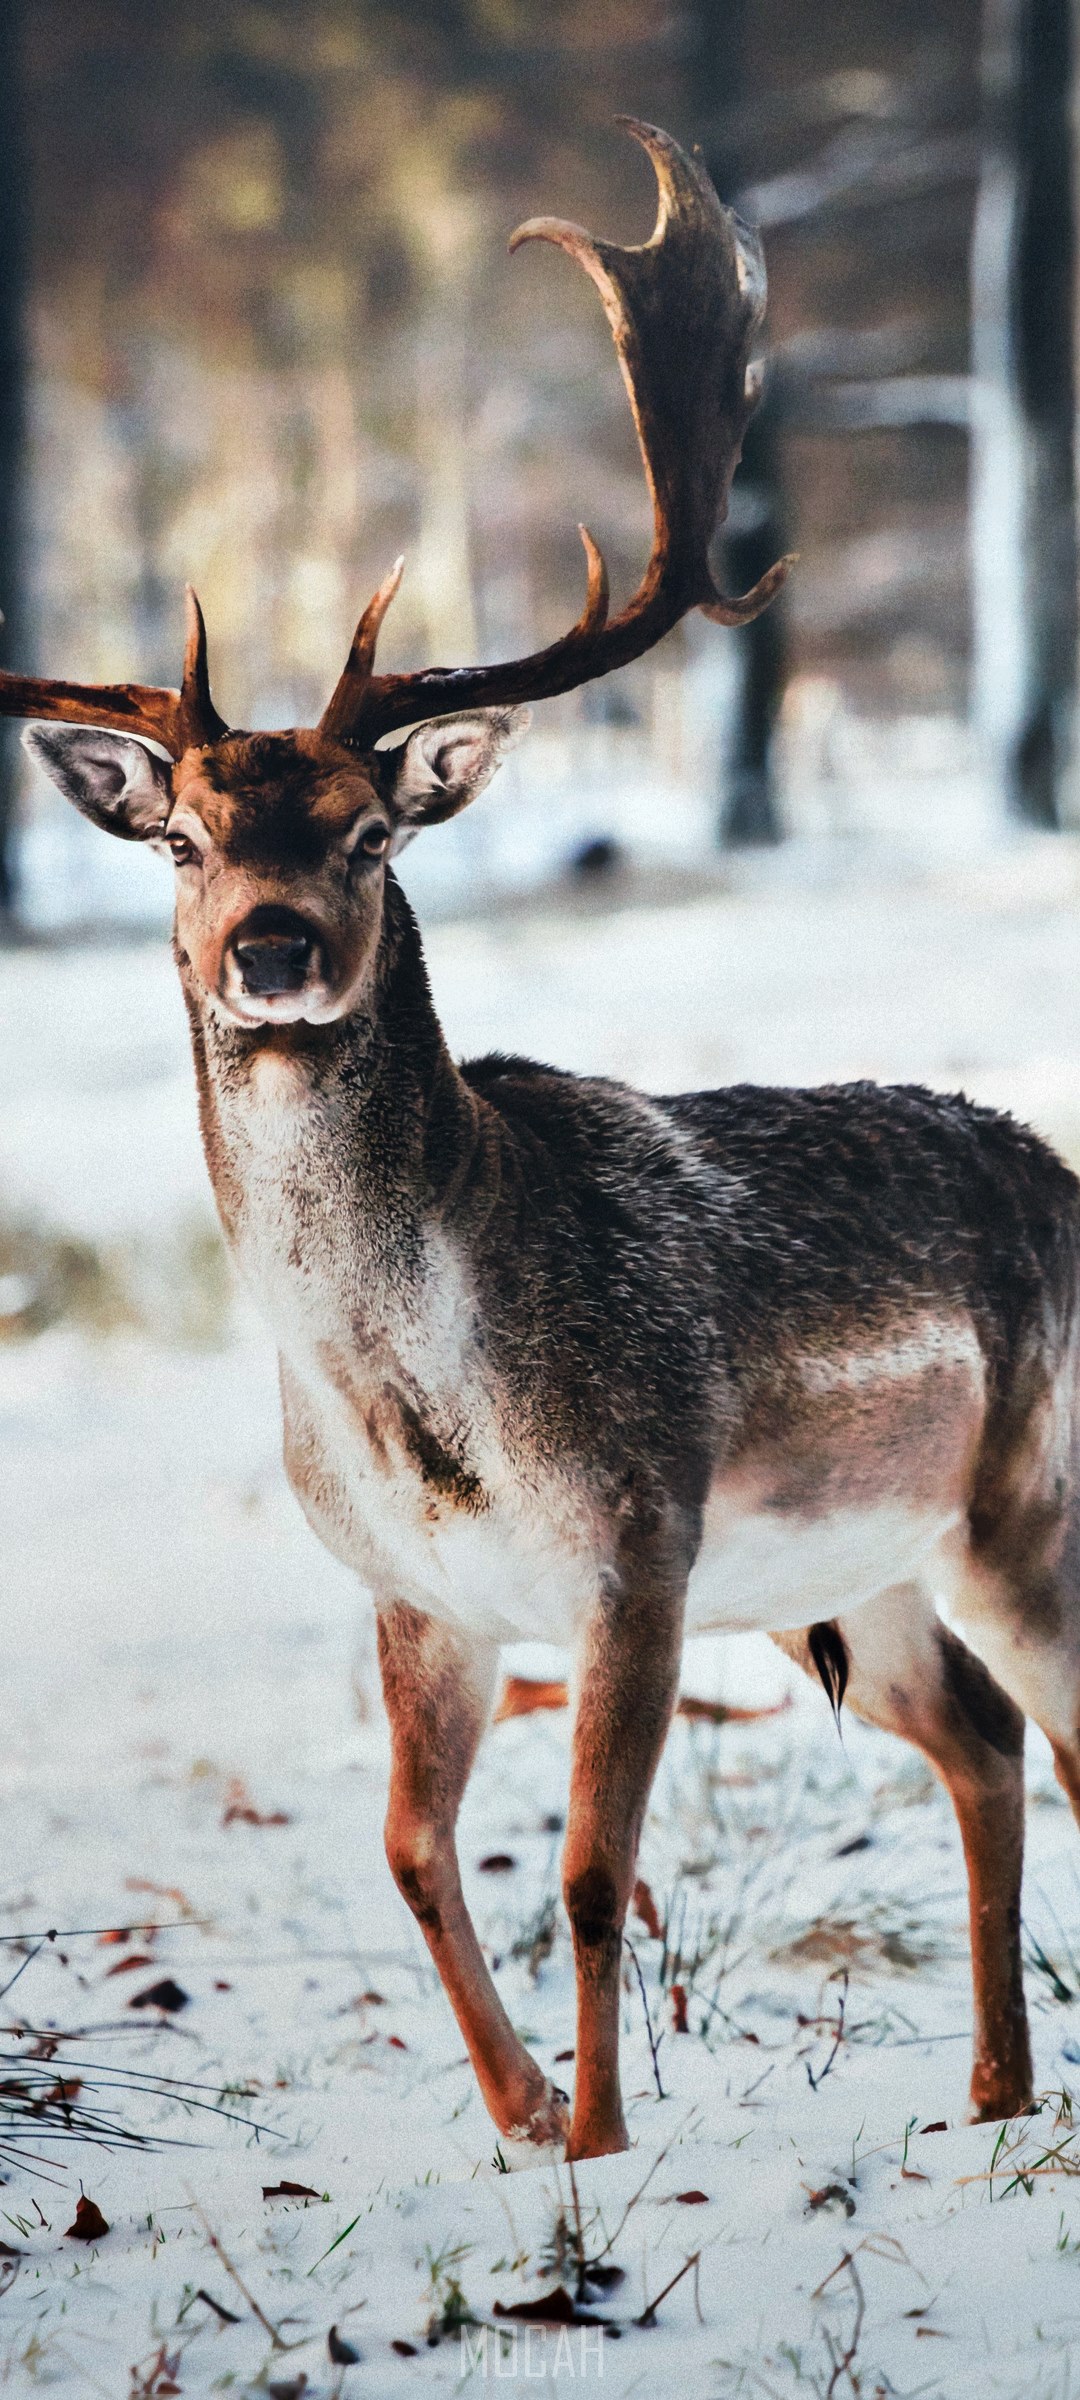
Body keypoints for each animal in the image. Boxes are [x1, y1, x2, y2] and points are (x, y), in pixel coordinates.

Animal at [5, 118, 1073, 2163]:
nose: (270, 947)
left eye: (367, 830)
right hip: (851, 1572)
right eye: (181, 839)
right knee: (982, 1741)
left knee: (1064, 1726)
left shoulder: (637, 1538)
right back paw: (992, 2096)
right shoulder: (412, 1592)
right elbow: (414, 1852)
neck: (421, 1407)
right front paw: (512, 2121)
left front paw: (596, 2149)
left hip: (1021, 1496)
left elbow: (585, 1870)